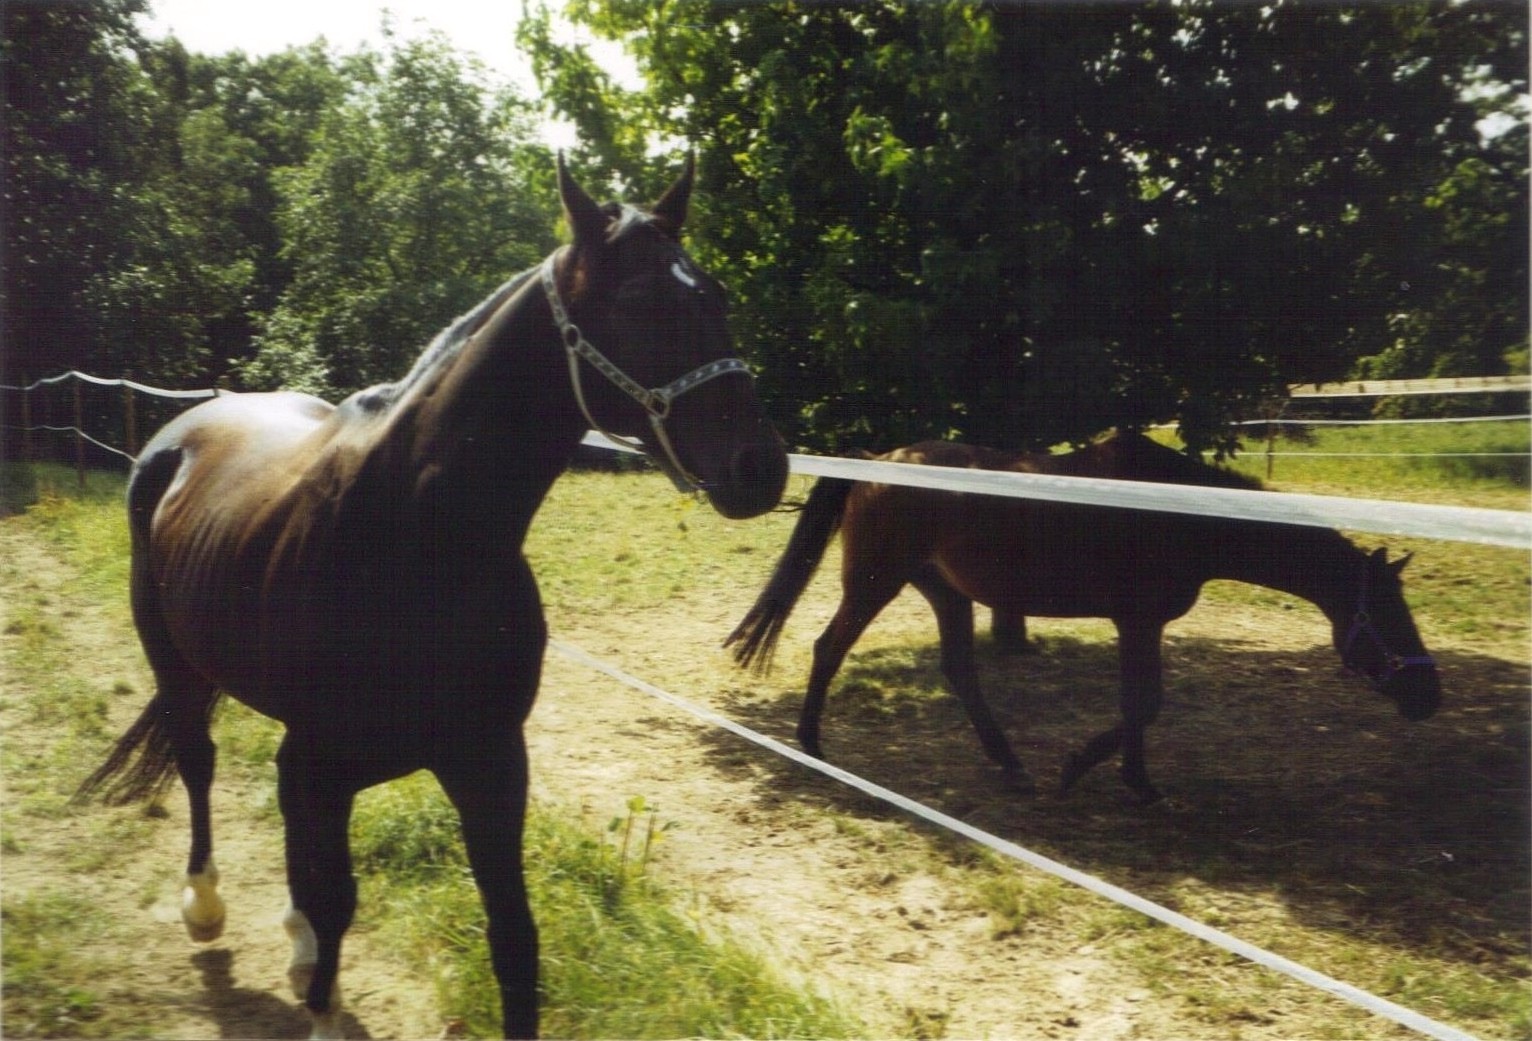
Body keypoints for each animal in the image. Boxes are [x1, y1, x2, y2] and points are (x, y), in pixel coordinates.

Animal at [76, 156, 784, 1041]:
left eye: (715, 295)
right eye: (640, 301)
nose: (761, 465)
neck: (416, 538)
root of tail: (181, 436)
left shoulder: (489, 761)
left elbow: (512, 939)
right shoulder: (325, 760)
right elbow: (337, 898)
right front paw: (319, 1002)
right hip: (173, 662)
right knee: (198, 761)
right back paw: (205, 906)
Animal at [723, 434, 1440, 802]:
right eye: (1389, 615)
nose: (1429, 696)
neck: (1181, 511)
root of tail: (877, 464)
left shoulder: (1139, 624)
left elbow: (1138, 704)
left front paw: (1133, 780)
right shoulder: (1139, 621)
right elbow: (1144, 703)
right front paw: (1085, 769)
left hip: (946, 592)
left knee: (960, 672)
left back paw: (1010, 764)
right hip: (877, 582)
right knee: (828, 648)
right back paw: (812, 745)